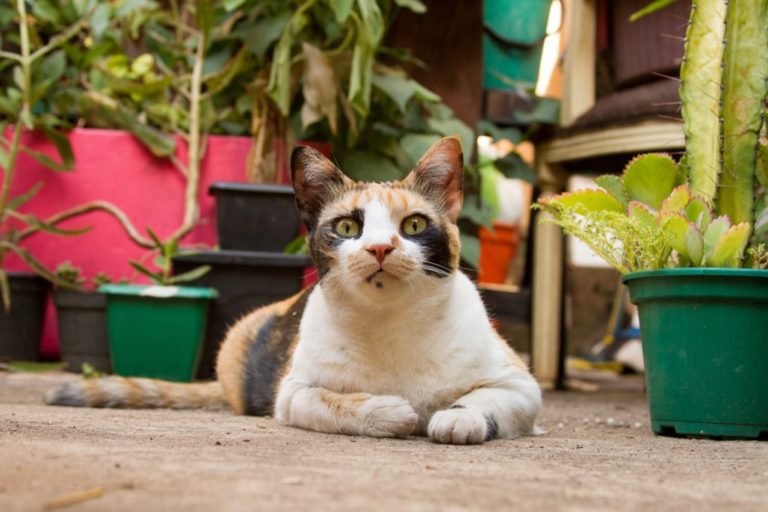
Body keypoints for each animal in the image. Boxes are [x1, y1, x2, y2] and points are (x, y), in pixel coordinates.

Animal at [45, 137, 544, 444]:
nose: (381, 247)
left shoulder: (521, 384)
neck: (391, 323)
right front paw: (392, 412)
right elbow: (335, 403)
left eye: (415, 225)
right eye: (348, 227)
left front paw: (458, 417)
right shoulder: (292, 393)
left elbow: (482, 399)